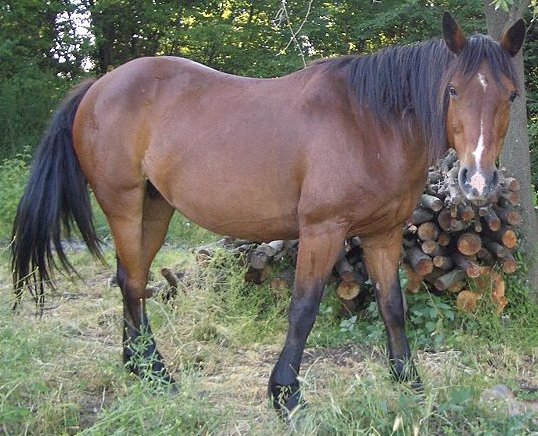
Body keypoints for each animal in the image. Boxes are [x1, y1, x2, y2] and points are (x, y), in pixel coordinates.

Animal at [11, 13, 524, 412]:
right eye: (453, 90)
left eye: (512, 96)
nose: (478, 182)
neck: (370, 122)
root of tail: (98, 86)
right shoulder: (322, 230)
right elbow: (303, 308)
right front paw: (285, 394)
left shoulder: (385, 233)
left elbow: (392, 306)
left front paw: (409, 381)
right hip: (123, 202)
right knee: (134, 282)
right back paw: (156, 372)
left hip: (154, 209)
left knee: (129, 279)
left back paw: (143, 369)